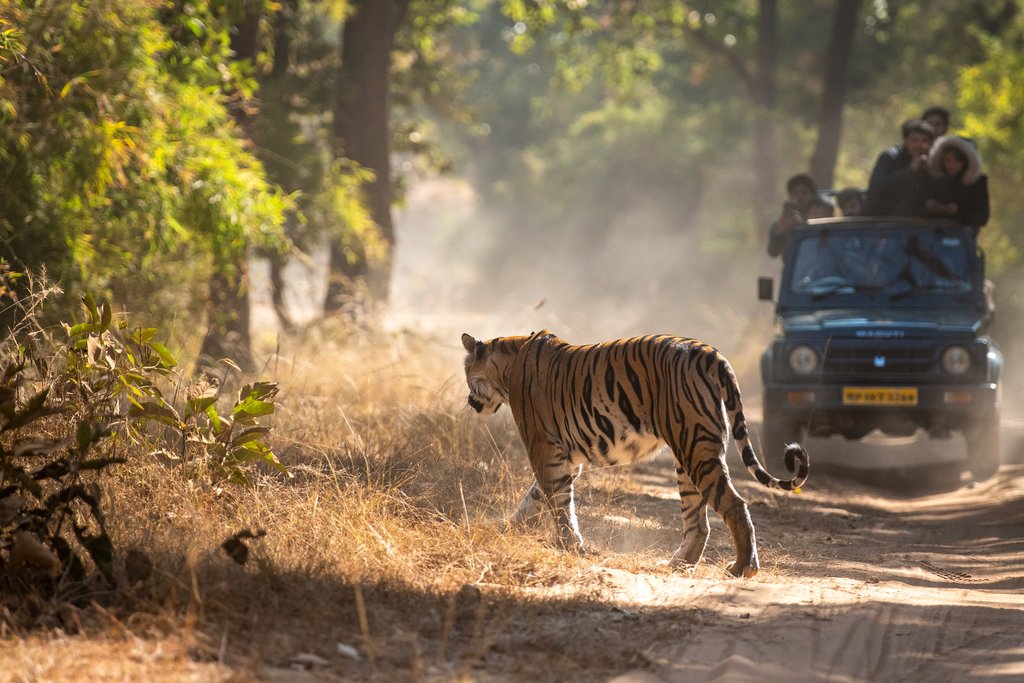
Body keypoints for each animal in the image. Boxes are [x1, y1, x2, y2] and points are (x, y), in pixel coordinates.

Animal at [462, 329, 806, 577]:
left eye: (467, 374)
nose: (469, 400)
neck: (507, 367)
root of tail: (711, 353)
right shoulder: (563, 459)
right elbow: (536, 498)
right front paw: (508, 528)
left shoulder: (544, 451)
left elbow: (559, 505)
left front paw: (570, 546)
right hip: (689, 456)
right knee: (699, 522)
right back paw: (677, 564)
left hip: (696, 449)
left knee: (735, 505)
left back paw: (742, 568)